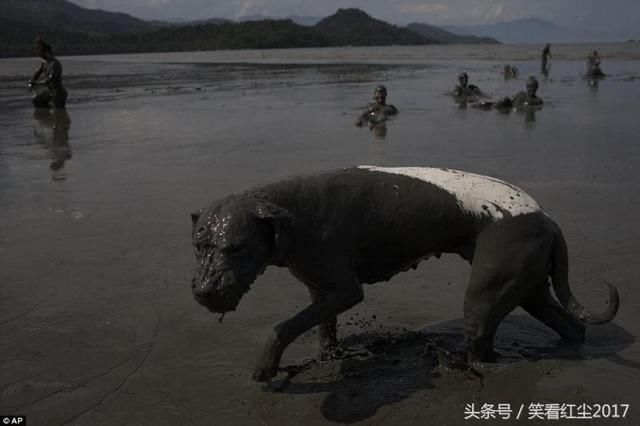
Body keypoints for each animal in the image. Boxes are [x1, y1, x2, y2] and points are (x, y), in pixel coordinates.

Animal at [191, 166, 620, 380]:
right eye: (198, 246)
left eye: (236, 247)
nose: (204, 292)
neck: (288, 209)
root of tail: (547, 219)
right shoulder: (321, 290)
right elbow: (321, 330)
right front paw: (328, 357)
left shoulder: (345, 291)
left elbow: (282, 327)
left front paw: (266, 366)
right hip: (528, 286)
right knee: (571, 326)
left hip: (488, 289)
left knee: (482, 344)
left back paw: (459, 363)